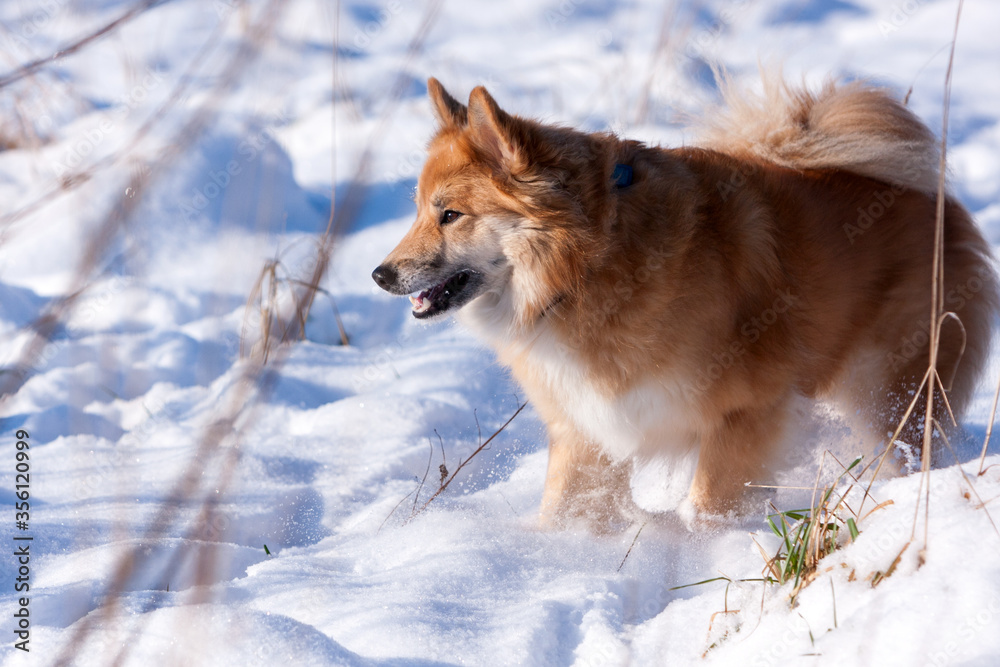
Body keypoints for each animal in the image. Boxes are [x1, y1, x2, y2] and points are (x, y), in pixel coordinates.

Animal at [372, 73, 996, 528]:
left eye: (450, 214)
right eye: (418, 208)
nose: (380, 274)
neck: (591, 266)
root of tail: (933, 198)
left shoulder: (744, 413)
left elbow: (706, 510)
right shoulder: (587, 431)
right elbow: (565, 511)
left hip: (889, 391)